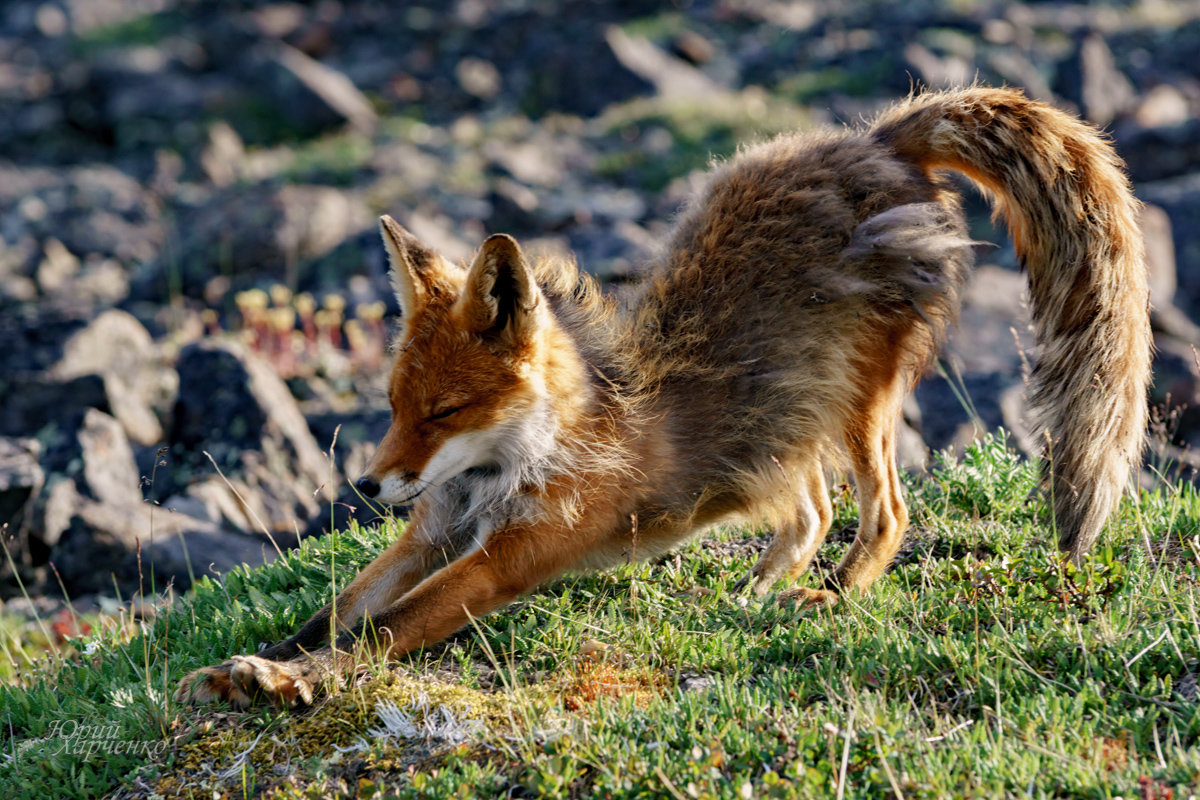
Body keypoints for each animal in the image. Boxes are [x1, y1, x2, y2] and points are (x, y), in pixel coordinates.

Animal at [177, 87, 1152, 705]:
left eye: (444, 411)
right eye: (391, 405)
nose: (366, 486)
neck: (510, 467)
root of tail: (875, 136)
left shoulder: (507, 556)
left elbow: (379, 633)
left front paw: (293, 684)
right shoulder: (433, 535)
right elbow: (329, 614)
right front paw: (253, 666)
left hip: (852, 397)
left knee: (886, 514)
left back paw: (831, 598)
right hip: (791, 409)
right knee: (808, 510)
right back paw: (755, 593)